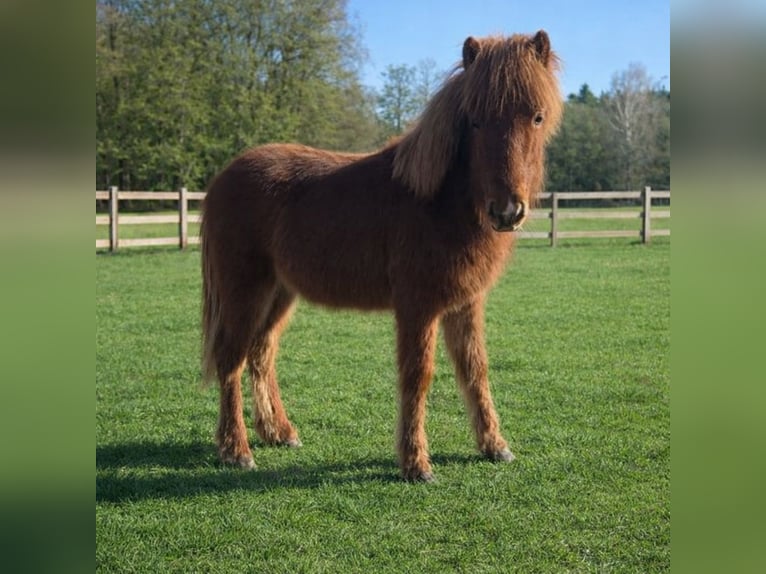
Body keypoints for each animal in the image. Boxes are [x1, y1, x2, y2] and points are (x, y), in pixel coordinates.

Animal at [200, 31, 562, 482]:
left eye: (536, 117)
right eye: (475, 121)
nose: (506, 211)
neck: (437, 202)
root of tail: (221, 180)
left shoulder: (465, 304)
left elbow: (475, 370)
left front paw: (495, 446)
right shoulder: (418, 306)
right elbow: (417, 375)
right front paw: (416, 464)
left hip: (279, 293)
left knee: (261, 354)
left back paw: (279, 433)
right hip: (245, 291)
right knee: (230, 360)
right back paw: (237, 451)